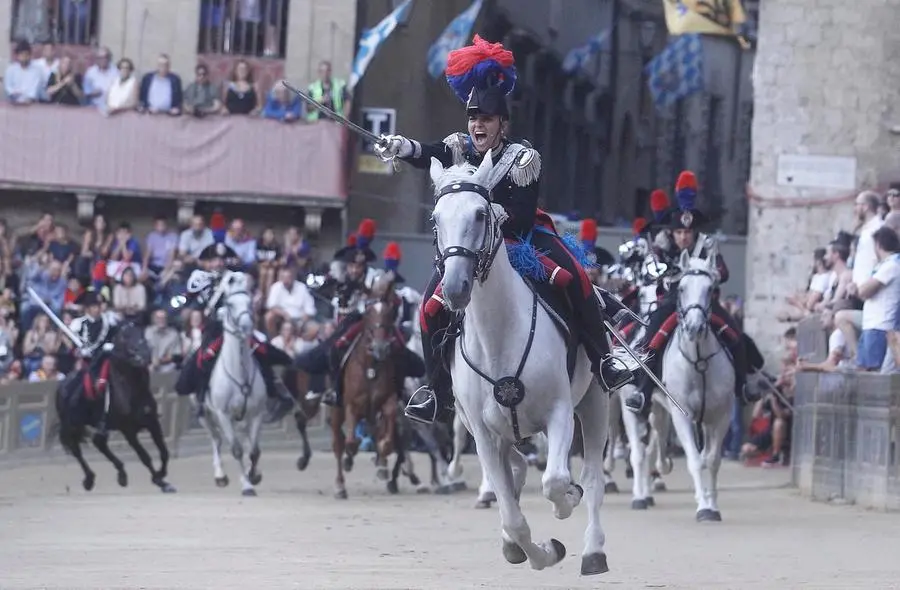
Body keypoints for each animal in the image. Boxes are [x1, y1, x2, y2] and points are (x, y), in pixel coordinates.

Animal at [57, 324, 177, 494]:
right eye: (123, 337)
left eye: (142, 334)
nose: (141, 356)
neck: (133, 390)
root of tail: (63, 384)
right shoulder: (128, 430)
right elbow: (144, 456)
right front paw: (158, 479)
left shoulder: (152, 421)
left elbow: (164, 452)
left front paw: (162, 478)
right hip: (72, 426)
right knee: (76, 449)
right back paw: (89, 479)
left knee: (99, 442)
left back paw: (121, 474)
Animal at [198, 272, 266, 500]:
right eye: (229, 304)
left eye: (250, 302)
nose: (246, 326)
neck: (238, 371)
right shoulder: (223, 414)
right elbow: (236, 450)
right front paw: (247, 485)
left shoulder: (256, 413)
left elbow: (254, 450)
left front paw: (254, 475)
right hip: (206, 416)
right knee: (217, 440)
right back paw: (220, 475)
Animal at [330, 272, 404, 500]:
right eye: (368, 312)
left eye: (389, 312)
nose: (380, 348)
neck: (371, 366)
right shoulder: (351, 405)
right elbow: (350, 442)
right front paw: (350, 457)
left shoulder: (387, 401)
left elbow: (386, 441)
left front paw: (382, 461)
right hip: (337, 411)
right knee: (338, 443)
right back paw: (340, 484)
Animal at [430, 155, 640, 576]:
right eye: (436, 219)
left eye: (480, 214)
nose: (455, 288)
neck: (499, 336)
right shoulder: (482, 433)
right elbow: (512, 515)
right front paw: (539, 551)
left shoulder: (559, 413)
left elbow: (556, 480)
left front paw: (567, 501)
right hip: (496, 431)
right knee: (515, 473)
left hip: (594, 405)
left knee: (592, 477)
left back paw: (593, 550)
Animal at [660, 250, 732, 524]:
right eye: (681, 288)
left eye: (710, 289)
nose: (694, 328)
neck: (698, 361)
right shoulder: (682, 416)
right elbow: (694, 460)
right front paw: (702, 506)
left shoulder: (721, 416)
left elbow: (711, 460)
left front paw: (712, 505)